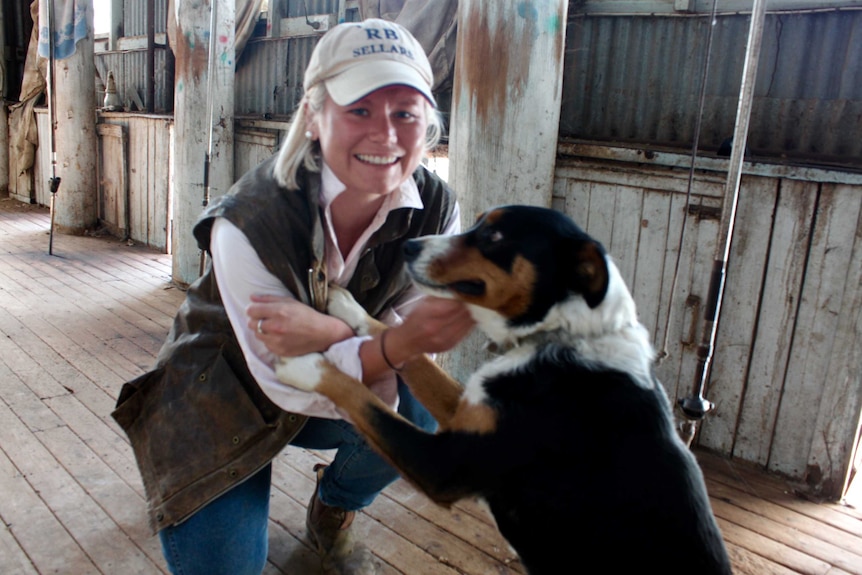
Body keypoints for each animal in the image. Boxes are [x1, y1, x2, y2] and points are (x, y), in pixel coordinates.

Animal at [276, 205, 736, 572]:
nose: (409, 246)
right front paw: (346, 305)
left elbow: (361, 395)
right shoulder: (468, 412)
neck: (558, 335)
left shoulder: (442, 464)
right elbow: (404, 348)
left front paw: (303, 364)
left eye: (494, 236)